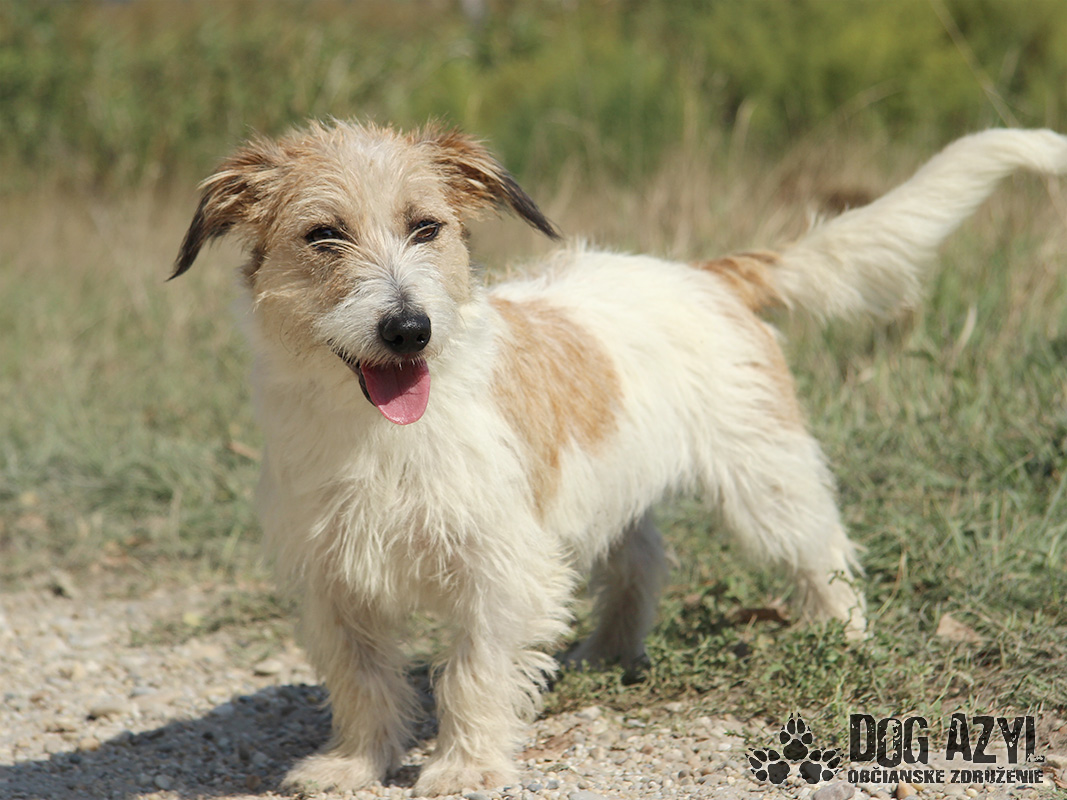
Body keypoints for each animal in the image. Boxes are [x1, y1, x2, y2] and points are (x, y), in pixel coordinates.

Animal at [172, 122, 1067, 795]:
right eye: (323, 236)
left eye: (426, 227)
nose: (408, 329)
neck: (376, 435)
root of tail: (708, 275)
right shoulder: (332, 580)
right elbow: (361, 681)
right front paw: (355, 764)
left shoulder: (501, 568)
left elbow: (473, 671)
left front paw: (465, 765)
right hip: (610, 495)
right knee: (641, 557)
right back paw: (610, 649)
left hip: (766, 485)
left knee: (826, 551)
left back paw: (843, 639)